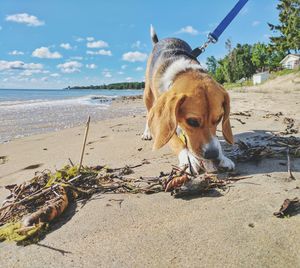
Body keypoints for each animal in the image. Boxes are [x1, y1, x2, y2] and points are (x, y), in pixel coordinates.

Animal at [142, 26, 236, 175]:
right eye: (192, 121)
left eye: (219, 119)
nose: (212, 154)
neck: (183, 71)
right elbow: (174, 139)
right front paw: (188, 157)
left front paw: (222, 157)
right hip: (147, 94)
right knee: (148, 113)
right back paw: (147, 132)